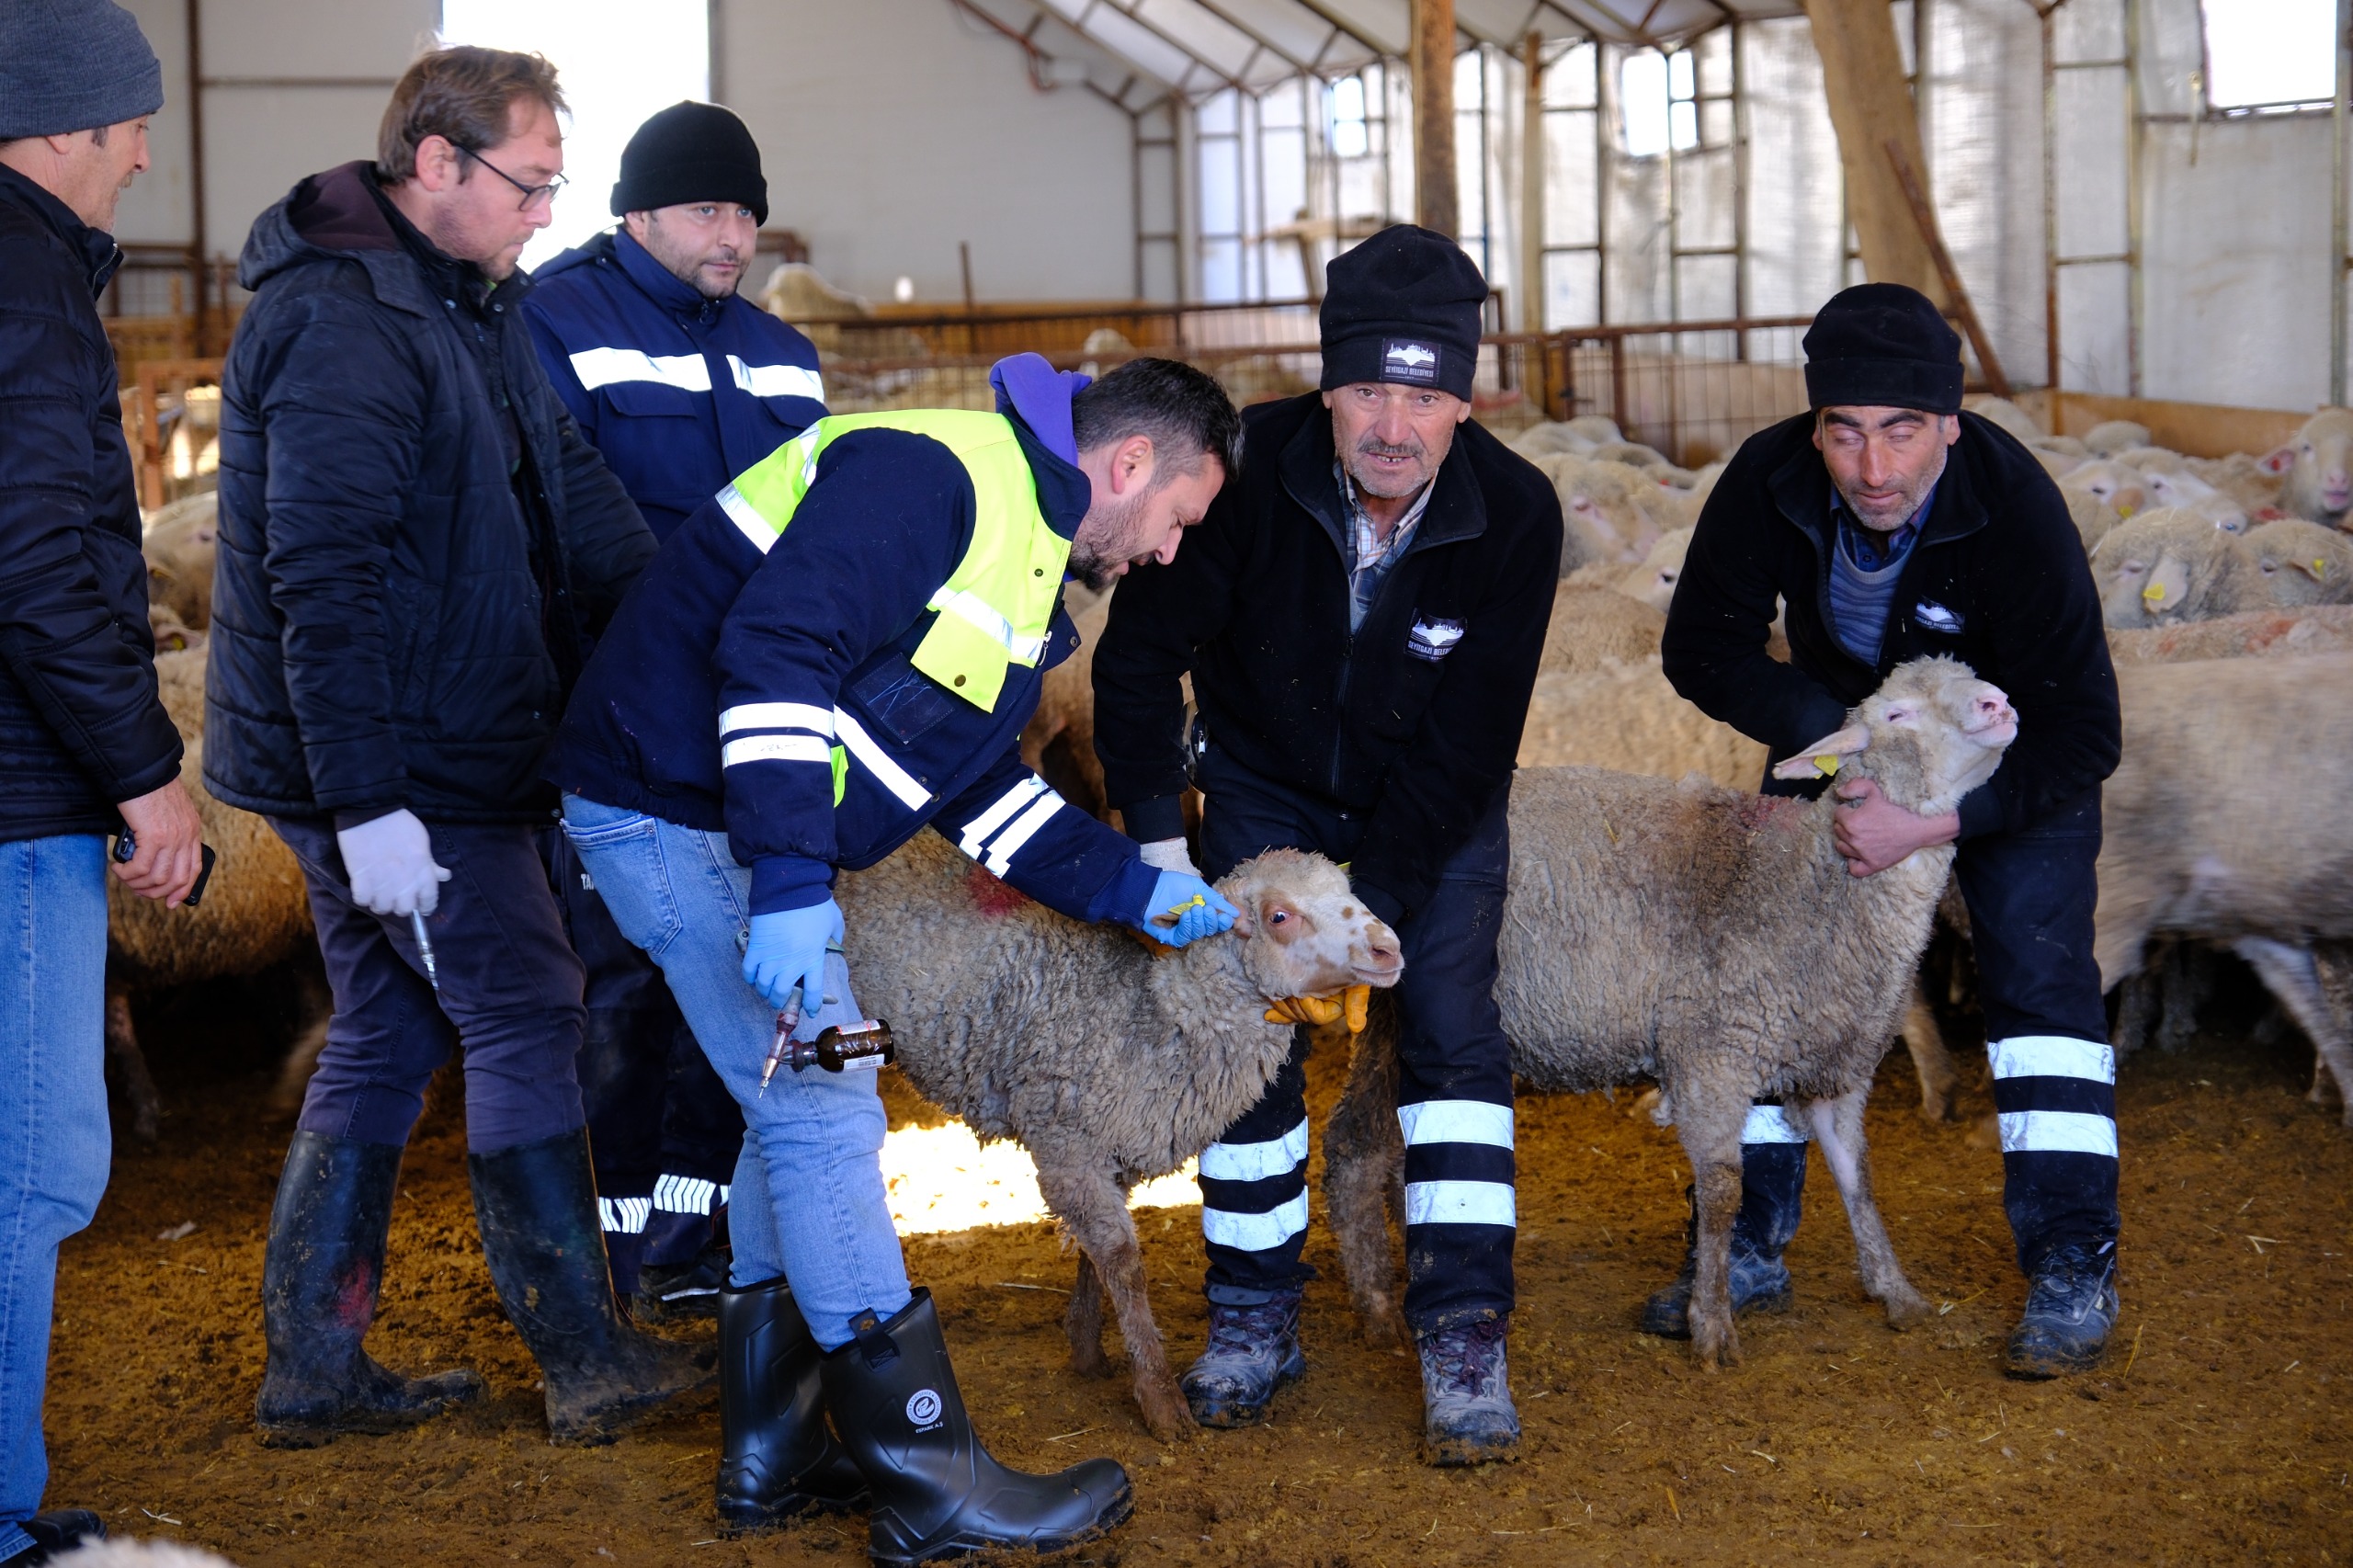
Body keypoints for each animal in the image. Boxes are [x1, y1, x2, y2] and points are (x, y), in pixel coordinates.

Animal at [837, 828, 1402, 1431]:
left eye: (1348, 890)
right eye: (1279, 916)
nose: (1389, 948)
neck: (1156, 1021)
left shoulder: (1111, 1148)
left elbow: (1094, 1254)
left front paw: (1087, 1348)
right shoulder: (1067, 1147)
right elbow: (1122, 1262)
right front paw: (1159, 1397)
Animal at [1326, 654, 2023, 1365]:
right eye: (1896, 714)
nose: (1998, 704)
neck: (1813, 882)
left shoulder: (1837, 1070)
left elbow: (1859, 1178)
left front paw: (1897, 1292)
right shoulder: (1712, 1053)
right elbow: (1721, 1191)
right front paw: (1710, 1324)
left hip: (1388, 1023)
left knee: (1376, 1143)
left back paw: (1405, 1273)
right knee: (1359, 1147)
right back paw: (1377, 1307)